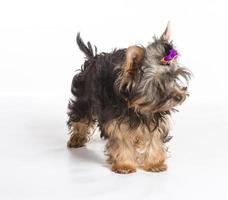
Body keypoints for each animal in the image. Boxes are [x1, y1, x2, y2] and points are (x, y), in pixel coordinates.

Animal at [66, 22, 191, 173]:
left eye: (174, 78)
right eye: (159, 83)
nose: (179, 97)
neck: (138, 106)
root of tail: (93, 59)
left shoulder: (155, 117)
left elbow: (154, 138)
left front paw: (154, 163)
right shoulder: (116, 120)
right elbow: (122, 141)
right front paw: (124, 165)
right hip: (85, 96)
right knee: (80, 116)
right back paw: (77, 138)